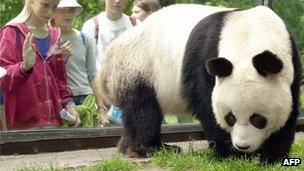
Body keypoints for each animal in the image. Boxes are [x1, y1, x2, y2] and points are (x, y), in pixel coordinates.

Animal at [96, 4, 300, 164]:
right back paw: (149, 148)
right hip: (139, 66)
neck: (251, 35)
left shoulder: (291, 61)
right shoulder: (205, 57)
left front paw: (272, 154)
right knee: (143, 110)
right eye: (230, 118)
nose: (243, 146)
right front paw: (231, 154)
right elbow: (206, 102)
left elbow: (289, 108)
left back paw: (129, 146)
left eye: (258, 119)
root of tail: (111, 52)